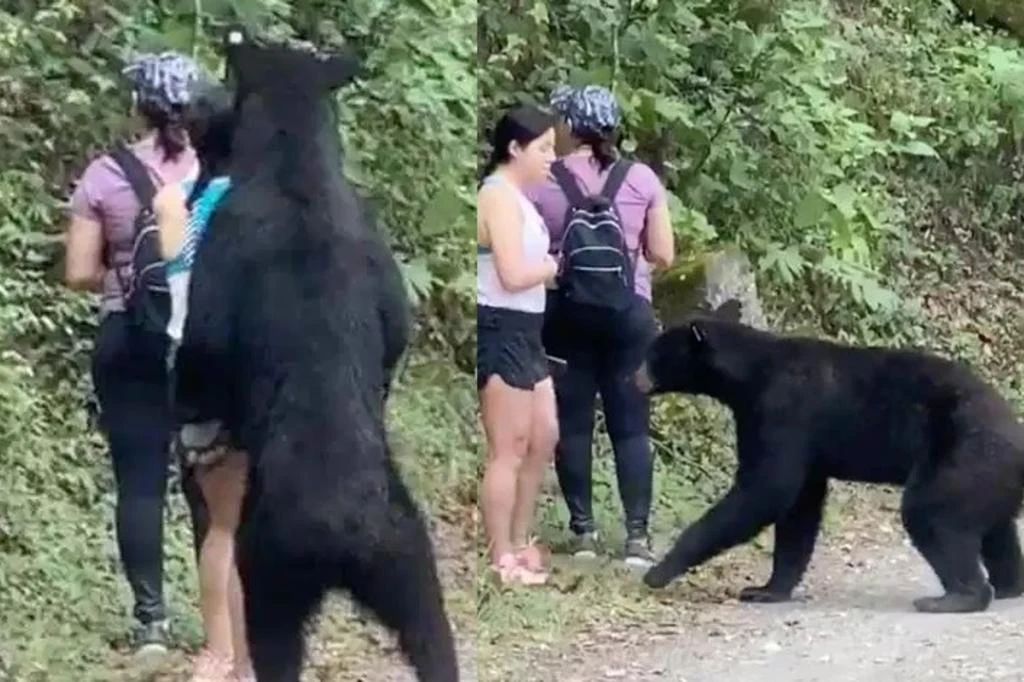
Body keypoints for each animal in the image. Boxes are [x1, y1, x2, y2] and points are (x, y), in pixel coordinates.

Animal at [172, 27, 456, 679]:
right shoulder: (376, 250)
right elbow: (394, 330)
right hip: (406, 555)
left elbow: (203, 349)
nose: (203, 116)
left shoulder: (224, 248)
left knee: (274, 640)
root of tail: (342, 533)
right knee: (434, 635)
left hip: (270, 566)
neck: (296, 168)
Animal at [634, 301, 1024, 614]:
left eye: (654, 354)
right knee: (996, 528)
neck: (751, 374)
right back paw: (1007, 584)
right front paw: (766, 590)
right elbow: (799, 508)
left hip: (963, 455)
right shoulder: (799, 442)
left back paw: (956, 597)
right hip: (989, 475)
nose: (634, 377)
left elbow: (765, 490)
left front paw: (659, 571)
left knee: (931, 513)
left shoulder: (781, 411)